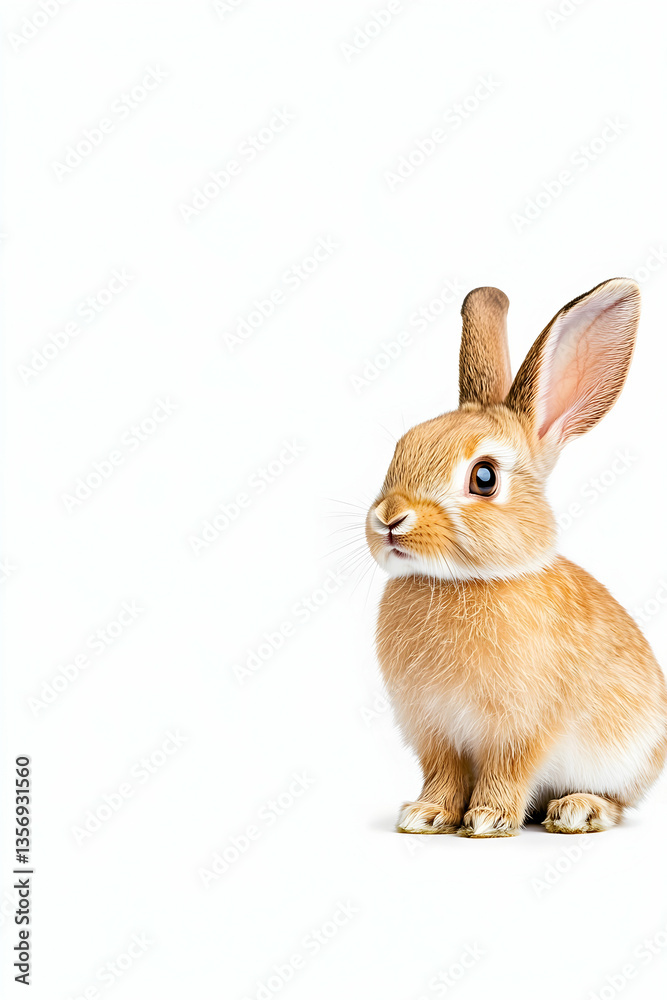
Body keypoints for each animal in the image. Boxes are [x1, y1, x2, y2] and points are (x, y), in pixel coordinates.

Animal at [365, 278, 667, 837]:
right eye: (400, 450)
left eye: (484, 478)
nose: (390, 518)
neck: (466, 580)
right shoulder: (435, 731)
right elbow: (443, 774)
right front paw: (426, 814)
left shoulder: (521, 728)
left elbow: (508, 770)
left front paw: (487, 819)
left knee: (618, 802)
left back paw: (577, 809)